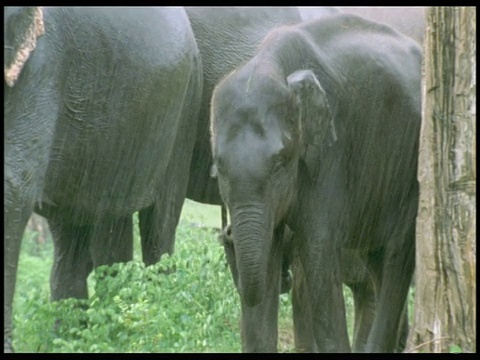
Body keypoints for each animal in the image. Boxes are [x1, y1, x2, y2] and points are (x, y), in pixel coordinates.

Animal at [2, 6, 201, 352]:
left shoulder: (41, 67)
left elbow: (12, 189)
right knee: (76, 232)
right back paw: (76, 339)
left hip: (183, 113)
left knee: (159, 226)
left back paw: (158, 324)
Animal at [210, 13, 420, 352]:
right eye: (220, 166)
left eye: (281, 162)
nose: (227, 232)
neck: (271, 62)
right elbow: (268, 253)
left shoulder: (331, 155)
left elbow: (318, 249)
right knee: (377, 264)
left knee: (395, 259)